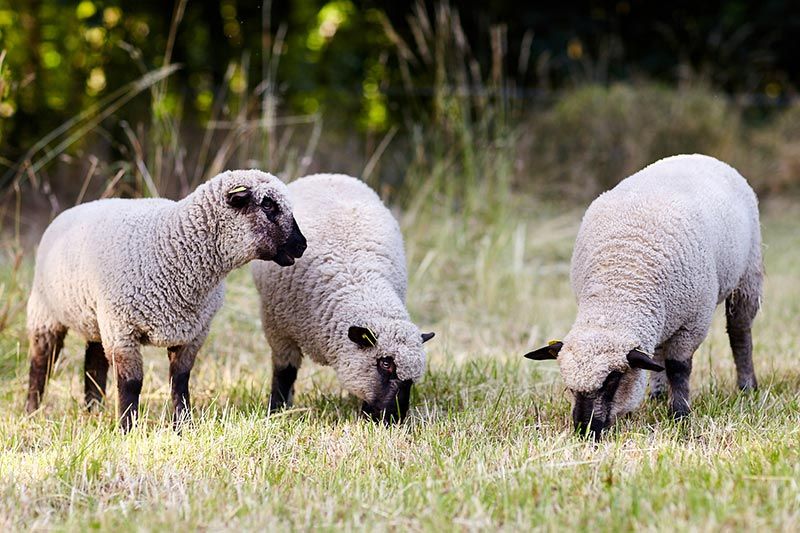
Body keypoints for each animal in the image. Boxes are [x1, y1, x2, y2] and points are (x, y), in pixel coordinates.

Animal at [26, 168, 308, 430]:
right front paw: (128, 430)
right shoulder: (123, 329)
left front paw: (183, 426)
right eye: (268, 205)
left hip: (95, 318)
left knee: (94, 361)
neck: (171, 247)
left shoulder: (193, 332)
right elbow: (131, 383)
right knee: (40, 363)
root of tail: (77, 207)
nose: (302, 245)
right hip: (46, 311)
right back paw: (32, 412)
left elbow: (180, 380)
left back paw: (93, 409)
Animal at [252, 172, 434, 422]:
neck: (359, 285)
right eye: (386, 363)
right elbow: (284, 374)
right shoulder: (279, 331)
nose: (394, 418)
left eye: (412, 380)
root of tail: (328, 175)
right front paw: (276, 411)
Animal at [524, 153, 764, 436]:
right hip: (666, 311)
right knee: (658, 350)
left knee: (740, 332)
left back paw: (747, 387)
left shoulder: (693, 323)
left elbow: (679, 368)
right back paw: (658, 394)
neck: (617, 289)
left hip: (748, 274)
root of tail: (698, 155)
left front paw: (680, 414)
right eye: (570, 386)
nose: (585, 431)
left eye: (613, 379)